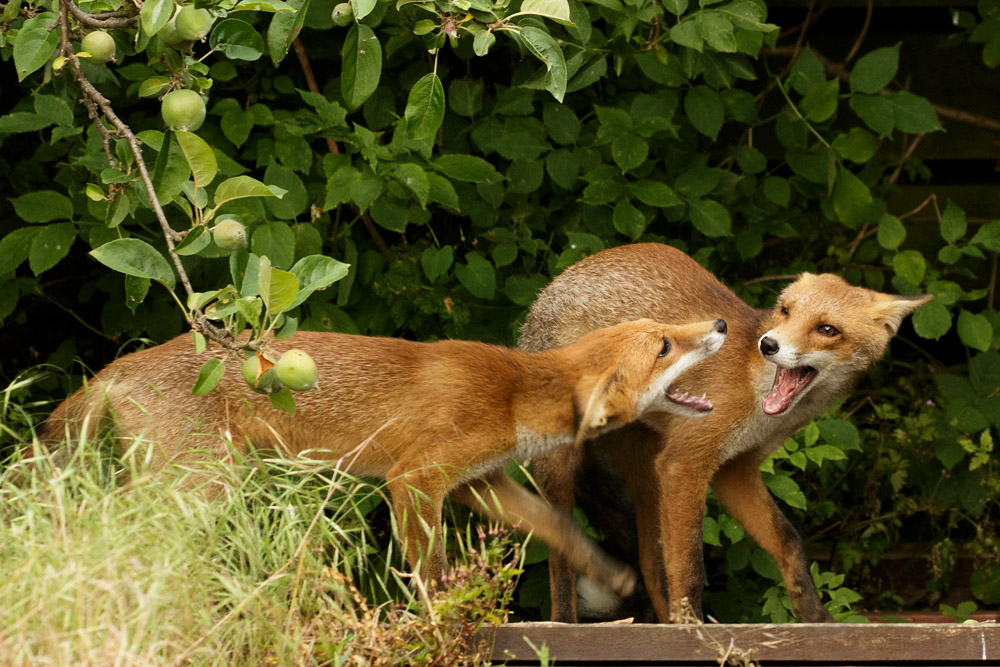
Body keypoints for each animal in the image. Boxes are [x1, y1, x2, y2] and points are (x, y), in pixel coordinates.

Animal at [38, 316, 727, 593]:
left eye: (669, 329)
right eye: (665, 346)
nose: (719, 325)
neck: (509, 397)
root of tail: (115, 368)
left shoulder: (481, 483)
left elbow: (560, 529)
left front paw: (611, 574)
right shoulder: (415, 479)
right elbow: (430, 571)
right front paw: (444, 620)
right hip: (197, 487)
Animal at [518, 243, 932, 623]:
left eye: (827, 330)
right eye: (785, 311)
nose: (769, 344)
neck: (755, 393)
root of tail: (561, 278)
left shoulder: (736, 469)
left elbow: (788, 541)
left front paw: (815, 617)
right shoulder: (685, 463)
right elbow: (690, 568)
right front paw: (694, 629)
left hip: (647, 474)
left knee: (650, 564)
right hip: (563, 465)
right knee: (561, 556)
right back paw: (564, 622)